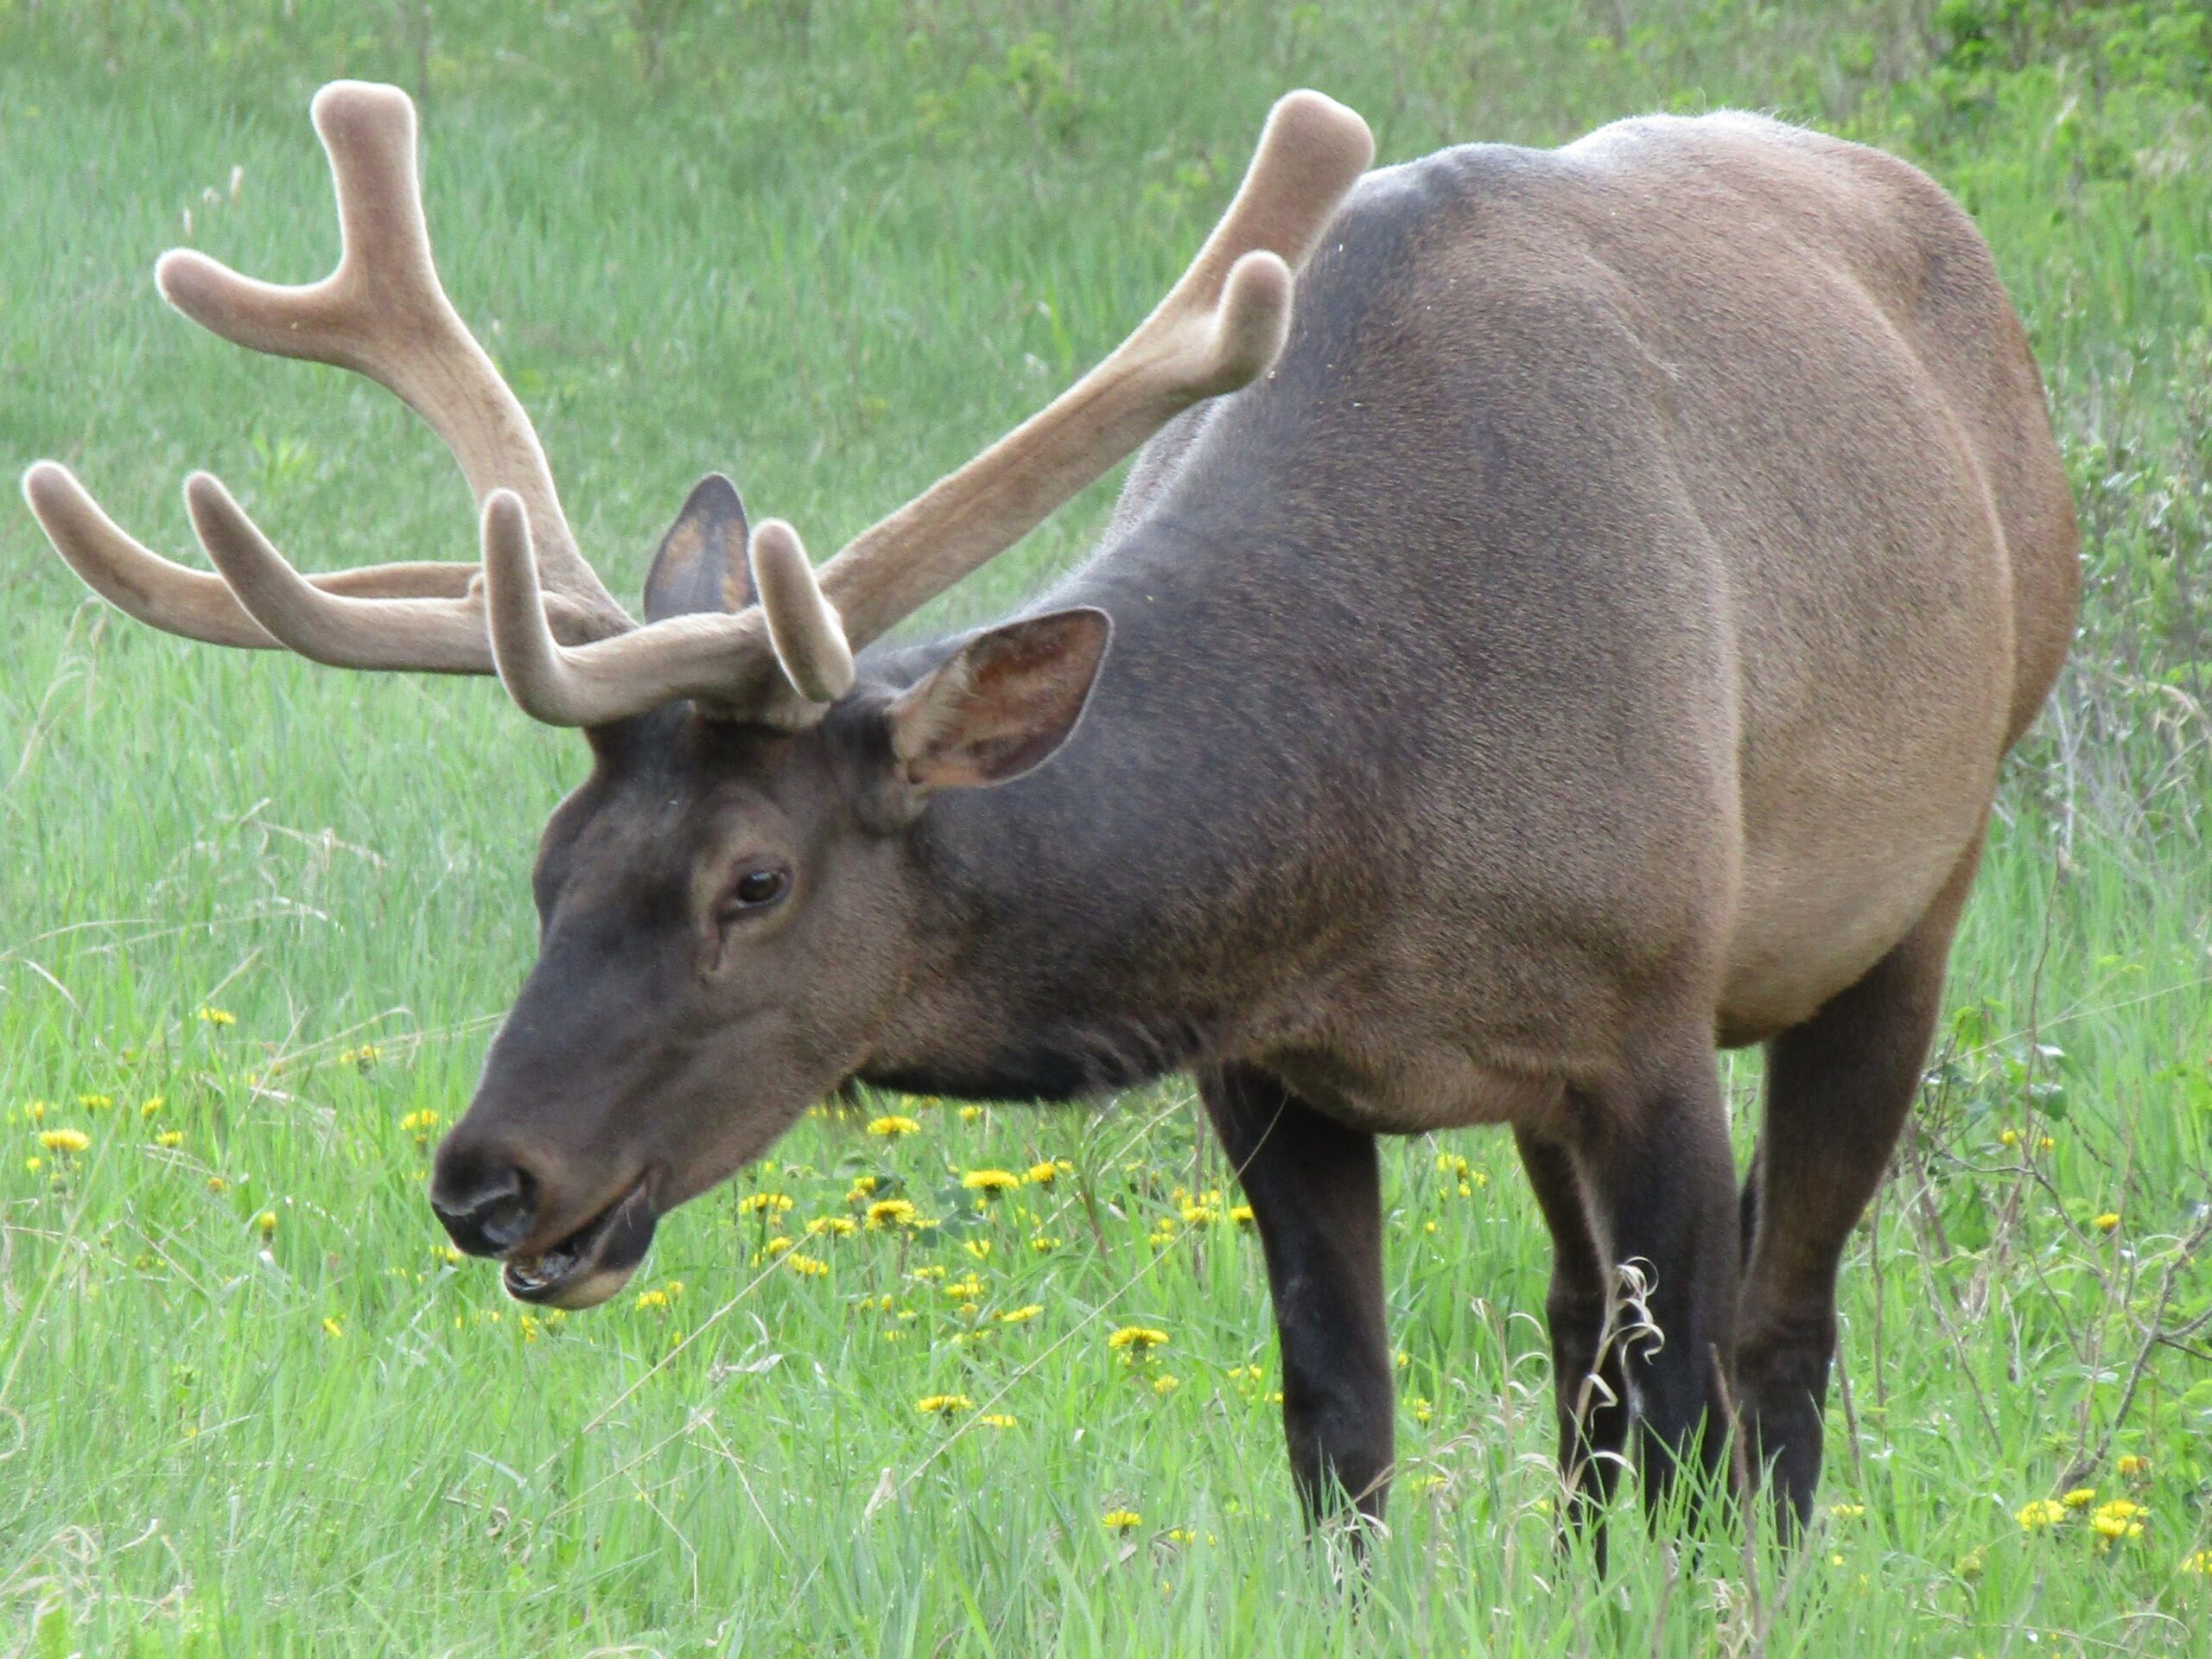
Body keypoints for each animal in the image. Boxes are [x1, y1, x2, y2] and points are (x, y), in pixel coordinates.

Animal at [26, 84, 2070, 1548]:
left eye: (753, 880)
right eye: (548, 871)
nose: (486, 1180)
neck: (1374, 811)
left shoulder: (1645, 1015)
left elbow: (1687, 1406)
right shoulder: (1273, 1063)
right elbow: (1342, 1424)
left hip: (1918, 884)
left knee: (1775, 1333)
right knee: (1579, 1330)